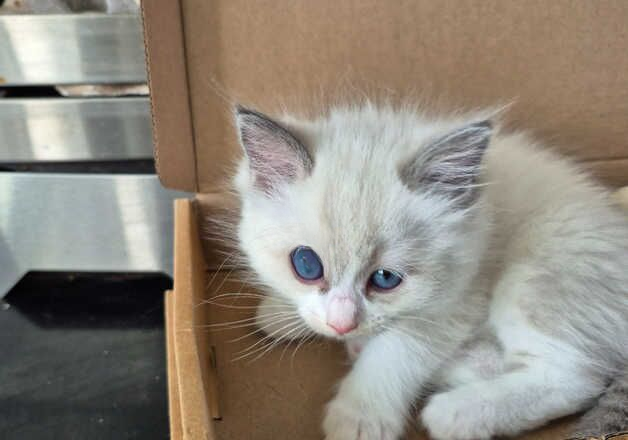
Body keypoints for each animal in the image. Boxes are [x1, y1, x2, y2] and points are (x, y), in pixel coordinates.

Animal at [232, 104, 628, 440]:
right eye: (306, 266)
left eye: (385, 279)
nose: (342, 325)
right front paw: (279, 313)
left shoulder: (457, 303)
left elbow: (393, 352)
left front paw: (359, 417)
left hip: (536, 274)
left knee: (576, 377)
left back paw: (455, 413)